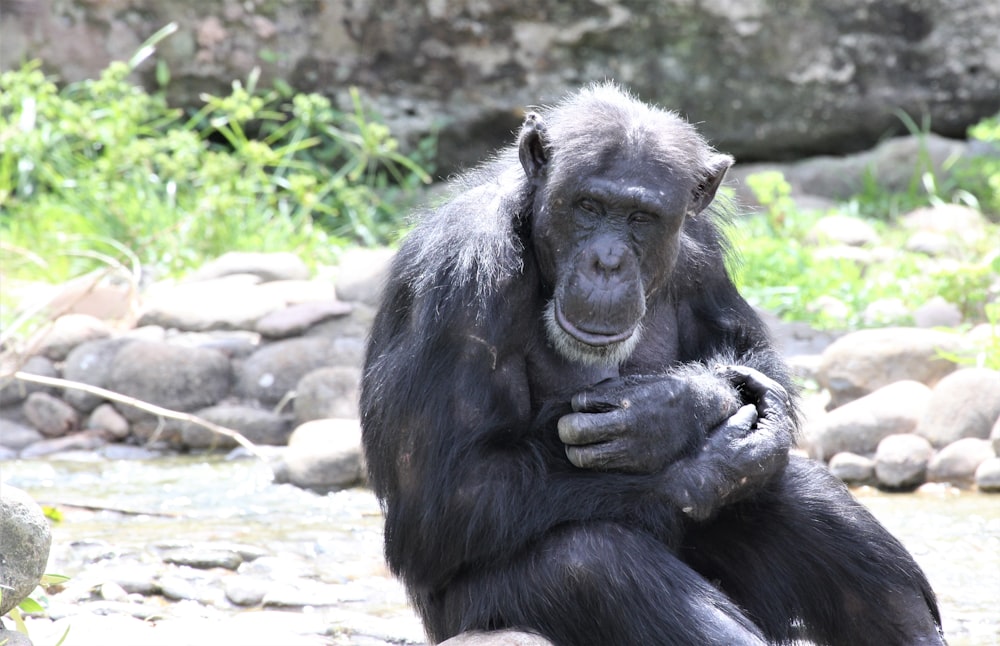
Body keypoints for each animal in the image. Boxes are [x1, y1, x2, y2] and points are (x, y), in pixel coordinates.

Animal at [360, 83, 944, 644]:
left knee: (807, 496)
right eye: (588, 206)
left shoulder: (699, 245)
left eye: (641, 218)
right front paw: (697, 458)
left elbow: (753, 355)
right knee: (591, 562)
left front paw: (671, 409)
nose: (608, 262)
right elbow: (449, 491)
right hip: (474, 617)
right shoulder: (465, 277)